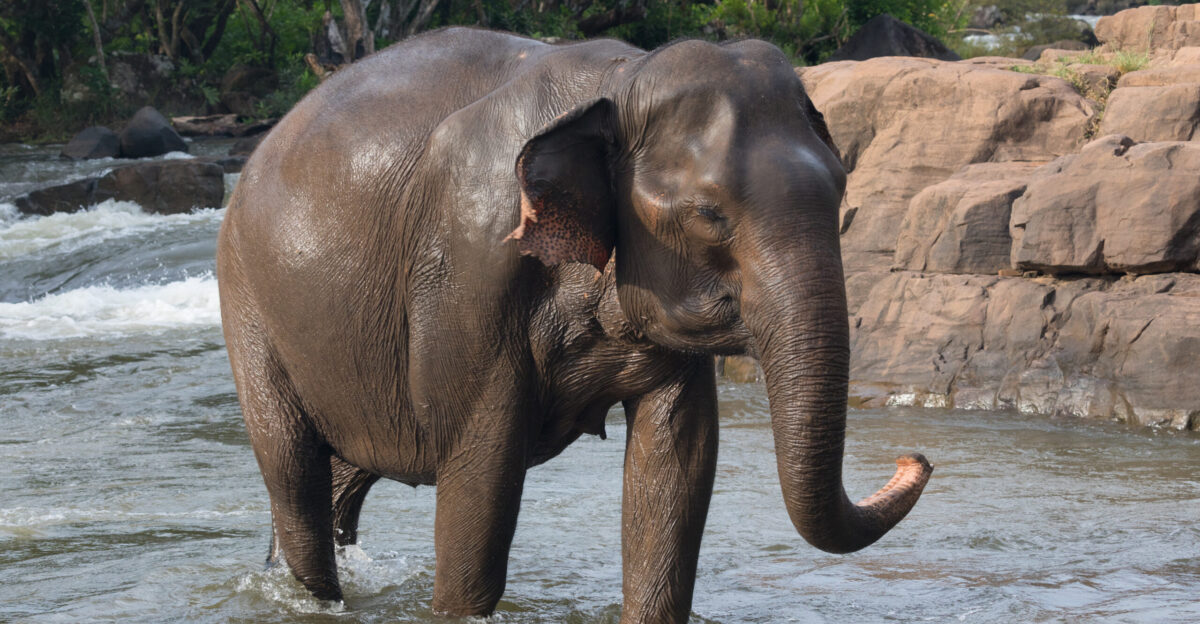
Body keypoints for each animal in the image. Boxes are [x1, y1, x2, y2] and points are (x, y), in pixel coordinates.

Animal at [217, 27, 932, 622]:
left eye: (840, 190)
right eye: (708, 214)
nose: (915, 455)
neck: (622, 80)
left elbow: (678, 460)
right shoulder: (468, 270)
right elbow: (480, 470)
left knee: (337, 479)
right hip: (246, 303)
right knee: (294, 473)